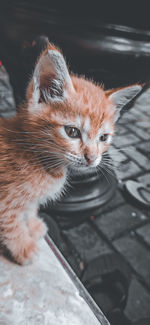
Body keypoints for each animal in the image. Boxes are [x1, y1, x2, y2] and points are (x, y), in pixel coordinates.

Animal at [0, 41, 141, 264]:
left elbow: (29, 209)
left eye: (104, 138)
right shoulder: (4, 201)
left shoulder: (27, 200)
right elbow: (12, 224)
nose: (92, 158)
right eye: (72, 132)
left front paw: (32, 226)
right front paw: (24, 247)